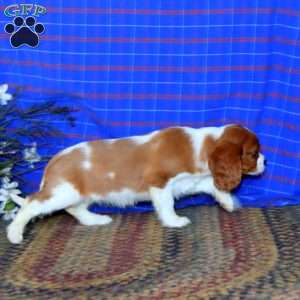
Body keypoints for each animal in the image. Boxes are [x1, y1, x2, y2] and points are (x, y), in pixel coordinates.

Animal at [7, 124, 264, 244]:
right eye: (253, 154)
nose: (266, 162)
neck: (202, 144)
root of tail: (54, 161)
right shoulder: (160, 183)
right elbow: (167, 205)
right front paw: (174, 221)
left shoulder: (189, 181)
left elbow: (211, 186)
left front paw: (227, 202)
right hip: (62, 192)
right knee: (31, 203)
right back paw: (14, 233)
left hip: (78, 194)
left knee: (75, 209)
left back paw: (95, 219)